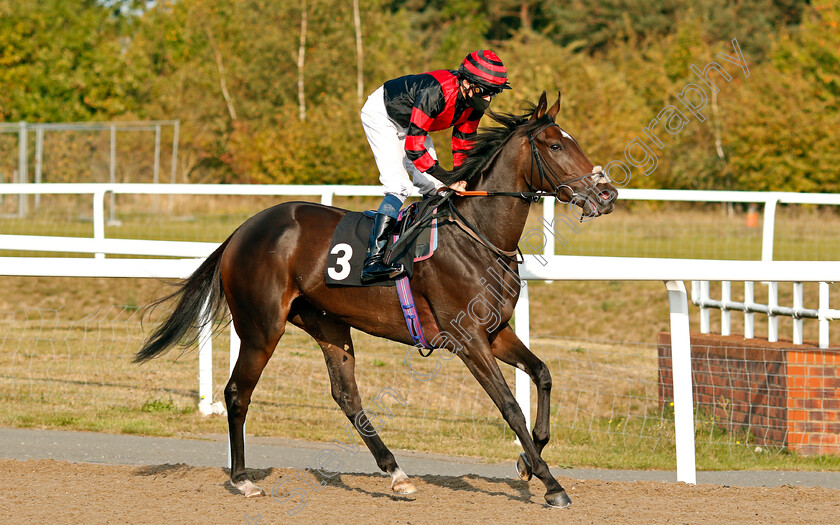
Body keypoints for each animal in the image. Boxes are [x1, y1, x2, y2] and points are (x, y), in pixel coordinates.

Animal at [136, 91, 616, 508]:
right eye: (555, 145)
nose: (607, 193)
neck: (477, 234)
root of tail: (242, 229)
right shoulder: (468, 340)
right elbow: (510, 406)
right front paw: (552, 484)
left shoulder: (495, 332)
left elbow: (543, 374)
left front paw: (526, 461)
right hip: (261, 327)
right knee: (238, 392)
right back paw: (242, 479)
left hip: (327, 324)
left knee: (347, 398)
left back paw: (398, 474)